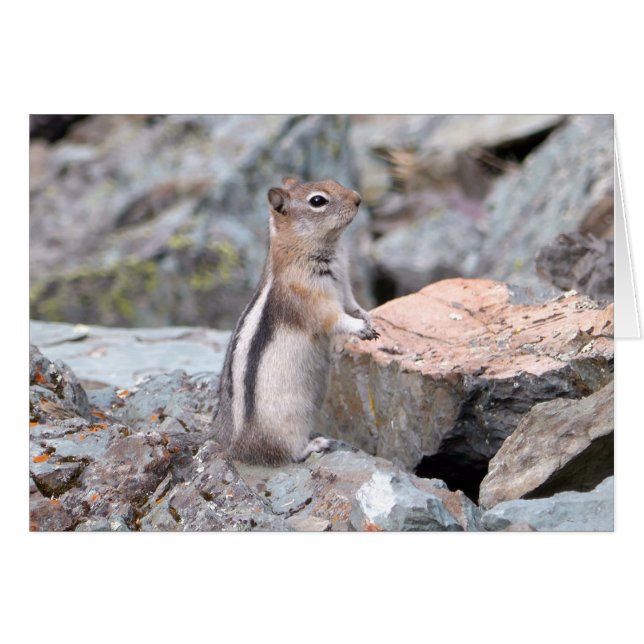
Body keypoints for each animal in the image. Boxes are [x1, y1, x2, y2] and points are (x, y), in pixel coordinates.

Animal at [212, 176, 379, 466]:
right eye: (318, 201)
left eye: (333, 180)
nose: (358, 198)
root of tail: (236, 449)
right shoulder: (313, 301)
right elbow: (335, 319)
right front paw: (359, 328)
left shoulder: (345, 286)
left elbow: (353, 306)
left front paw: (369, 319)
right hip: (290, 421)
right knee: (286, 453)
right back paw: (315, 445)